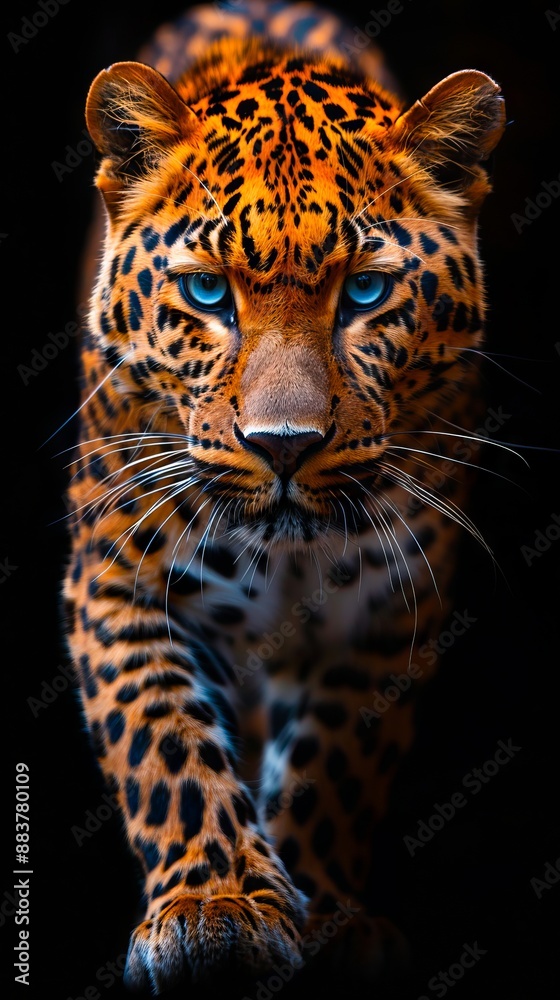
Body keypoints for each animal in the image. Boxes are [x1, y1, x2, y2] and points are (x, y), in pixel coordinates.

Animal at [63, 0, 506, 992]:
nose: (285, 446)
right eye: (206, 292)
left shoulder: (385, 609)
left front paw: (326, 919)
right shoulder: (115, 581)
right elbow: (166, 740)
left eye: (367, 292)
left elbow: (333, 765)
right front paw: (215, 910)